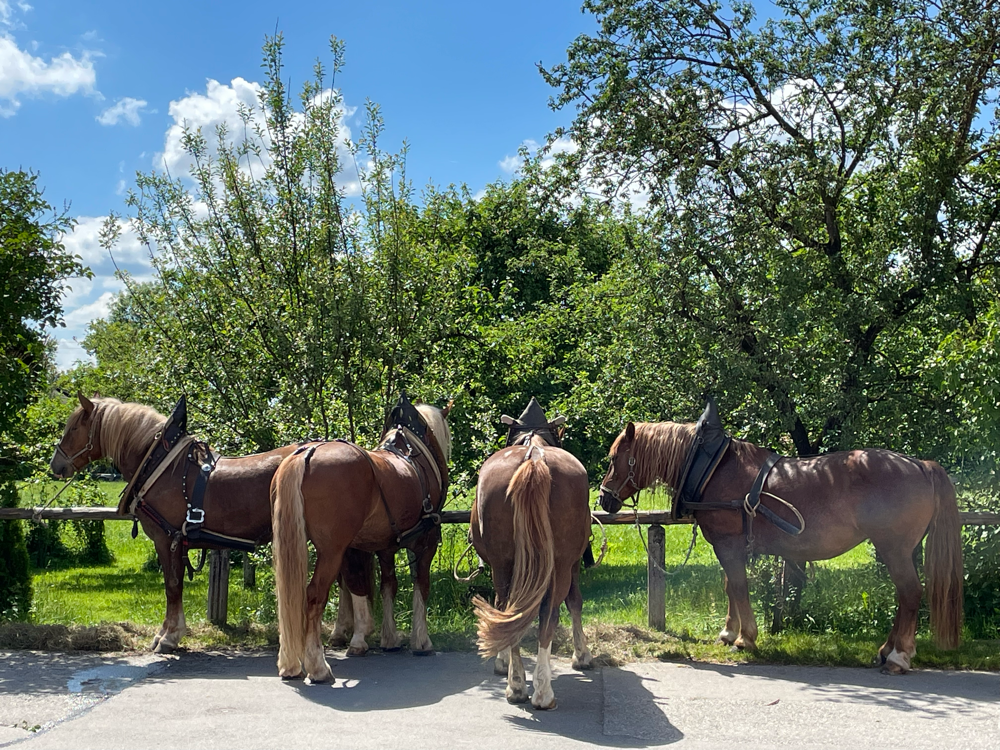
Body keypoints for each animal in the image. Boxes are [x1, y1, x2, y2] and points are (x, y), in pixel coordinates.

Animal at [50, 394, 299, 652]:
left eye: (74, 428)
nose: (55, 465)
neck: (160, 464)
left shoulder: (167, 539)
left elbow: (172, 585)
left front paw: (169, 636)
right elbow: (173, 585)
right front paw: (165, 633)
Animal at [271, 399, 453, 682]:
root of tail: (306, 454)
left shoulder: (384, 546)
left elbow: (386, 585)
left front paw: (387, 639)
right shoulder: (426, 542)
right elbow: (421, 585)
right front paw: (421, 641)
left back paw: (292, 665)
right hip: (332, 551)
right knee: (314, 595)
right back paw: (318, 667)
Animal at [470, 399, 593, 710]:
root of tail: (534, 458)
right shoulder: (573, 564)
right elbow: (575, 602)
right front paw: (582, 655)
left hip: (503, 565)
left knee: (509, 609)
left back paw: (517, 685)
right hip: (558, 566)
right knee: (546, 614)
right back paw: (538, 690)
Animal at [598, 417, 964, 674]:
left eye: (615, 458)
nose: (603, 498)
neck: (712, 469)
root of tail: (919, 465)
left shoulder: (727, 544)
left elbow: (739, 586)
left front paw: (745, 638)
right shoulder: (730, 546)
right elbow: (730, 586)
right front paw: (729, 632)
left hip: (894, 549)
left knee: (910, 594)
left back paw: (899, 656)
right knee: (904, 597)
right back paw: (887, 651)